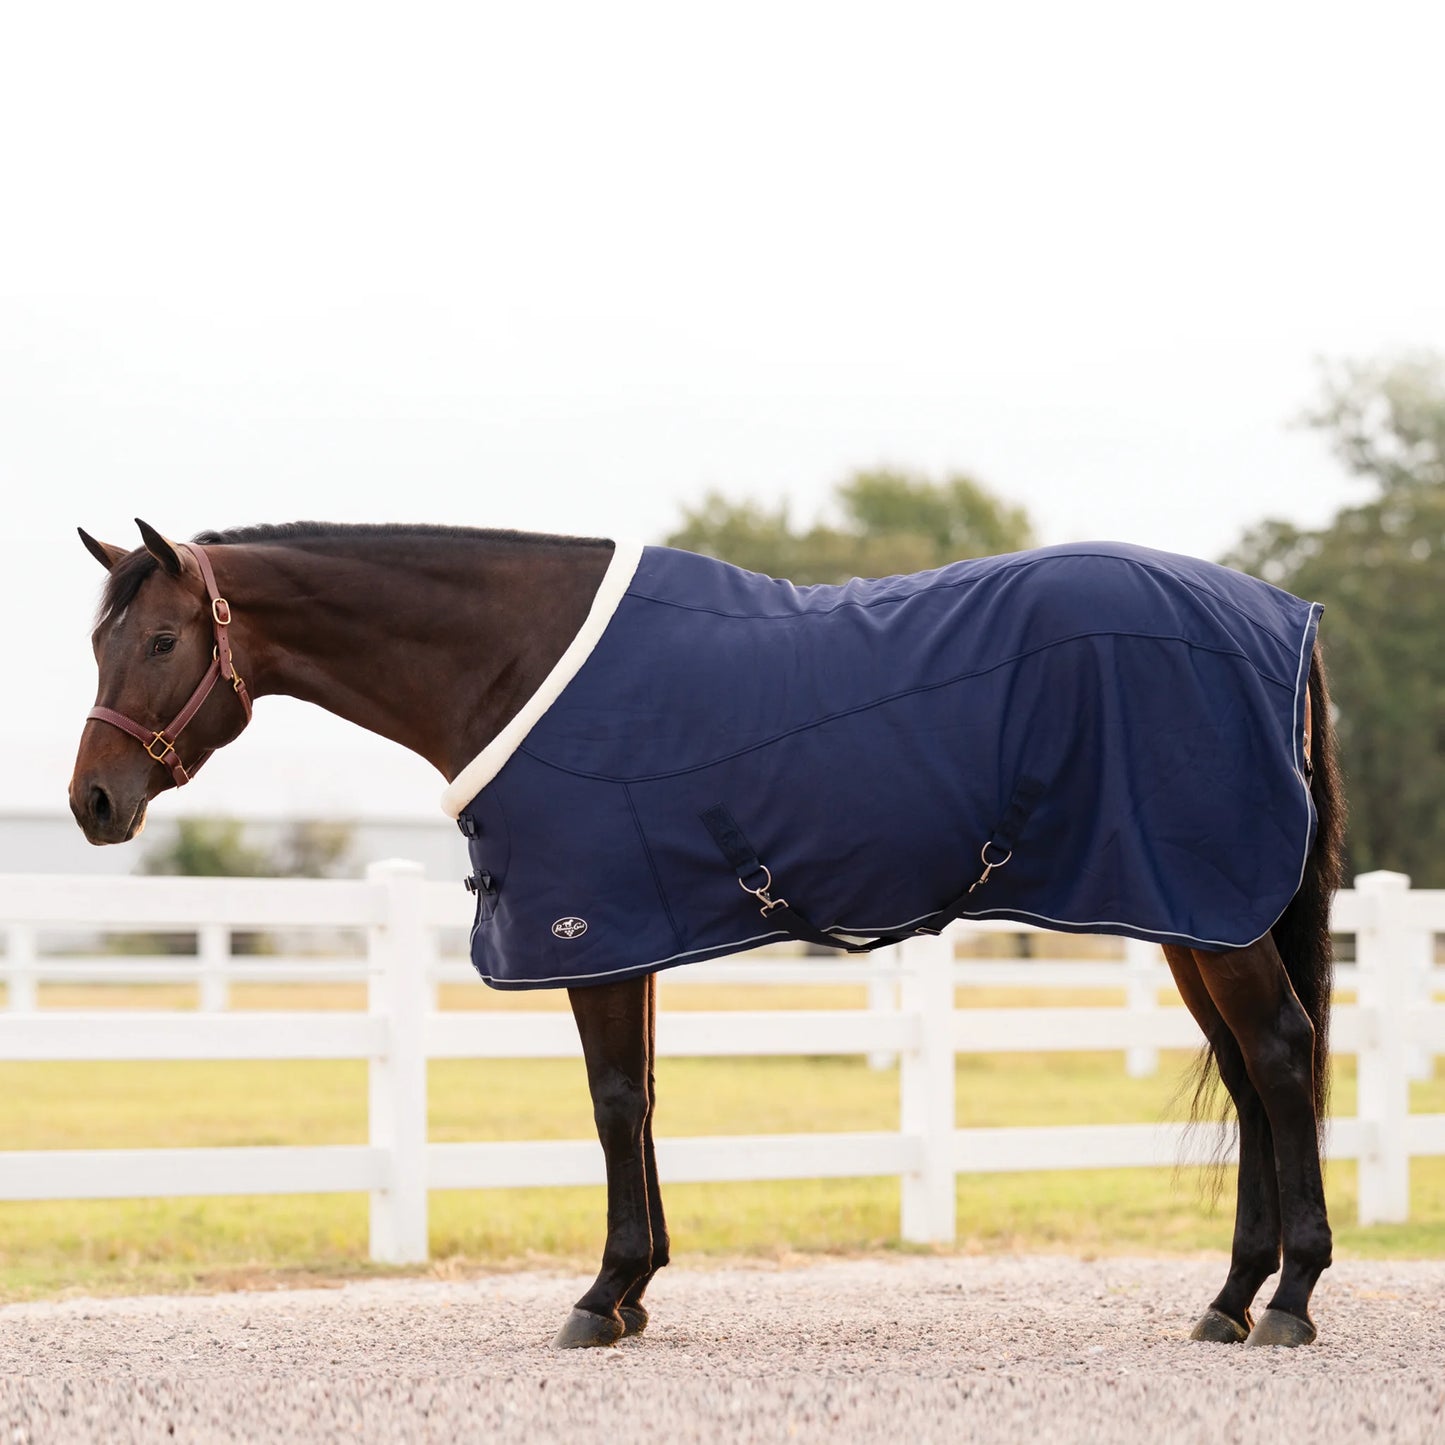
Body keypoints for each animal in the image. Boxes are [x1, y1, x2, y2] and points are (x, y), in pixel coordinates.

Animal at [69, 519, 1344, 1350]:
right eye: (98, 642)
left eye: (165, 640)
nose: (93, 802)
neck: (513, 659)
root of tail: (1280, 615)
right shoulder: (627, 931)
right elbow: (639, 1097)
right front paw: (637, 1287)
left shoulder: (588, 924)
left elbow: (609, 1101)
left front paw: (601, 1295)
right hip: (1188, 911)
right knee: (1245, 1073)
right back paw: (1228, 1297)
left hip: (1207, 909)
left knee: (1280, 1056)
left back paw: (1287, 1300)